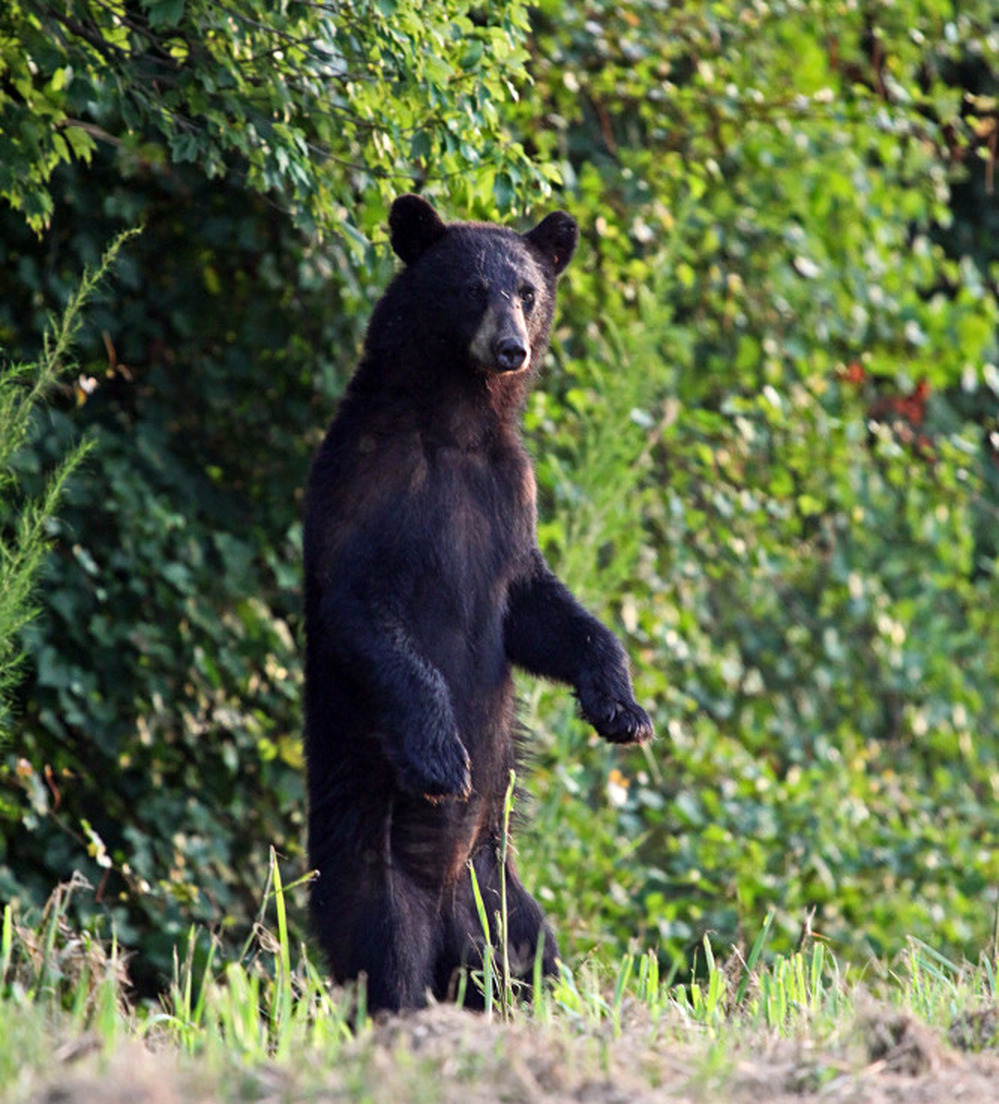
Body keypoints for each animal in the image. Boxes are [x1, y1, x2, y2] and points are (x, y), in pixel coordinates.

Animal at [303, 194, 653, 1014]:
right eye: (470, 288)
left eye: (526, 290)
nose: (510, 347)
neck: (458, 427)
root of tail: (444, 923)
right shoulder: (368, 487)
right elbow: (365, 613)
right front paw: (439, 753)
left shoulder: (510, 497)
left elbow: (541, 611)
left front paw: (622, 708)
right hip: (373, 884)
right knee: (387, 966)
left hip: (499, 896)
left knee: (531, 956)